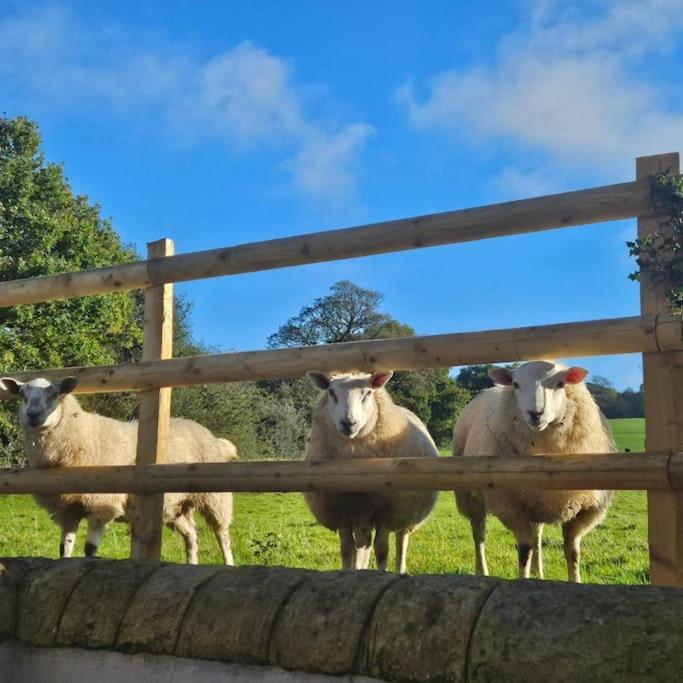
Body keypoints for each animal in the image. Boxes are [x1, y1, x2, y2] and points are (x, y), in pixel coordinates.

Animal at [0, 374, 238, 568]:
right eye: (22, 394)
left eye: (54, 394)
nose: (33, 415)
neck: (81, 435)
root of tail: (212, 436)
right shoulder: (67, 508)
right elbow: (65, 547)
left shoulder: (102, 505)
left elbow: (89, 549)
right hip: (176, 506)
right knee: (191, 534)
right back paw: (192, 563)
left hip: (215, 497)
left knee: (223, 535)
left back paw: (228, 564)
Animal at [304, 372, 438, 576]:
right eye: (331, 392)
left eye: (368, 393)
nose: (348, 423)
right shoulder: (342, 512)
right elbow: (346, 550)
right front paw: (348, 573)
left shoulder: (386, 513)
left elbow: (382, 551)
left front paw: (381, 573)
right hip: (362, 517)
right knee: (363, 545)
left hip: (405, 513)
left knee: (401, 542)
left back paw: (400, 571)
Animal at [452, 360, 616, 584]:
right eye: (516, 384)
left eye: (560, 383)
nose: (535, 413)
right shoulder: (511, 507)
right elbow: (524, 550)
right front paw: (524, 580)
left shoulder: (585, 509)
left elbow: (572, 552)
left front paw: (575, 582)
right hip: (470, 496)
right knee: (479, 534)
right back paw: (482, 571)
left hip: (537, 502)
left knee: (537, 535)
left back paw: (540, 573)